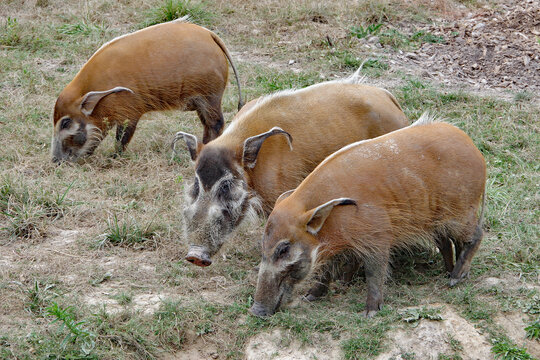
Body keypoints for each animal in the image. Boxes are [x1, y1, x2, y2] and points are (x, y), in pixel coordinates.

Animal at [51, 17, 243, 162]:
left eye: (65, 123)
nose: (55, 161)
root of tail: (210, 34)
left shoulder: (129, 113)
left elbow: (122, 138)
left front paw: (113, 158)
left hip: (210, 96)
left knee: (216, 123)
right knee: (209, 125)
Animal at [251, 114, 488, 318]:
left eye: (283, 249)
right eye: (263, 245)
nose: (256, 311)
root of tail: (477, 153)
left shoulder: (378, 238)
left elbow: (374, 273)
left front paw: (370, 312)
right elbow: (328, 270)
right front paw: (312, 296)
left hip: (460, 212)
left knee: (476, 234)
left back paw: (455, 278)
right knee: (448, 243)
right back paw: (449, 272)